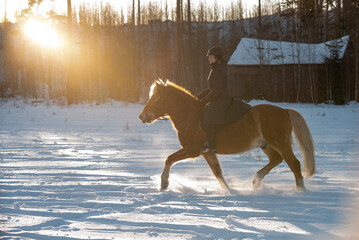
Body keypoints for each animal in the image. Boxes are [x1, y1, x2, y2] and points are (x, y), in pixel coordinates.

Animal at [139, 79, 316, 192]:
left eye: (156, 99)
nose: (142, 116)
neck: (190, 115)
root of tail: (285, 111)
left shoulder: (192, 150)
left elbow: (169, 159)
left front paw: (164, 183)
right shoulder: (208, 153)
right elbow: (217, 172)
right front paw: (229, 191)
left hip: (281, 144)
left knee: (294, 164)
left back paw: (301, 191)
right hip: (266, 145)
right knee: (276, 160)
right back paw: (256, 180)